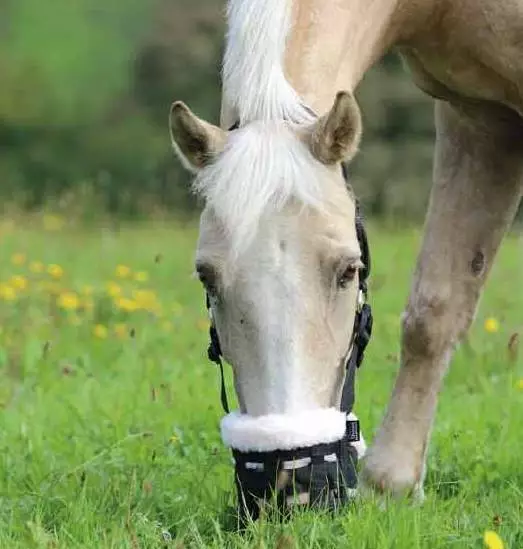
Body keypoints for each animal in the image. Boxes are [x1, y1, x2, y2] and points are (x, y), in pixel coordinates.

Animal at [168, 0, 523, 512]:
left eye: (348, 271)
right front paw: (392, 485)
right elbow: (434, 313)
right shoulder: (478, 115)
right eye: (206, 278)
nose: (290, 485)